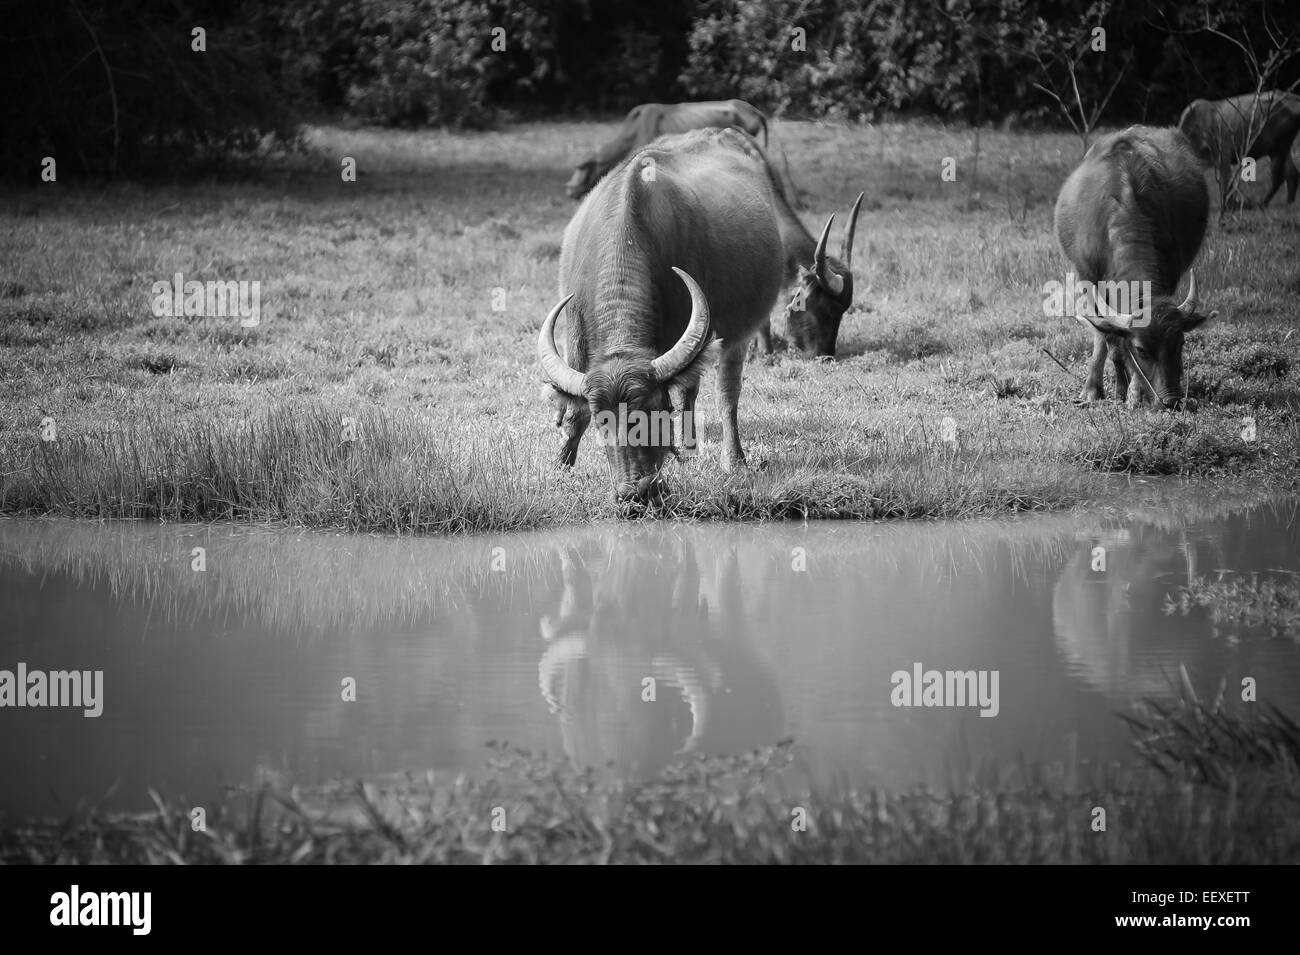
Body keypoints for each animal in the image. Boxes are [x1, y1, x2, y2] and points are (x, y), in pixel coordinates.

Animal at [538, 127, 780, 504]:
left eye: (650, 410)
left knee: (726, 393)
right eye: (602, 420)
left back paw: (733, 460)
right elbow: (574, 412)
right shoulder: (575, 328)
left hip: (736, 334)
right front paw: (560, 467)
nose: (635, 493)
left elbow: (690, 392)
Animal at [1050, 124, 1222, 407]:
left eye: (1180, 344)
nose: (1171, 400)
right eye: (1141, 349)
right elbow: (1107, 338)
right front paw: (1100, 390)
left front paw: (1133, 391)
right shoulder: (1086, 276)